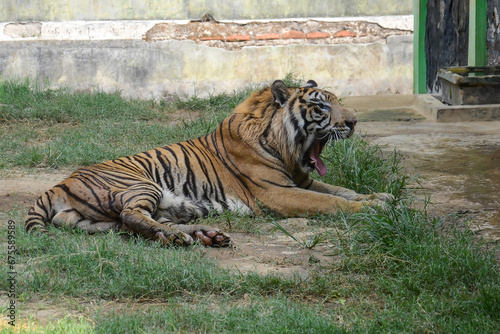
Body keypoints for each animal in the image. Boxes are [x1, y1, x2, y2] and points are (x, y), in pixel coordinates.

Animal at [25, 79, 392, 247]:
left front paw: (381, 197)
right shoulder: (278, 192)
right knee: (132, 216)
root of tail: (59, 183)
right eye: (321, 107)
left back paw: (206, 235)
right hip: (140, 185)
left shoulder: (304, 180)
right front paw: (374, 208)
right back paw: (184, 239)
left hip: (102, 220)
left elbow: (342, 191)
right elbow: (329, 202)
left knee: (133, 225)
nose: (354, 122)